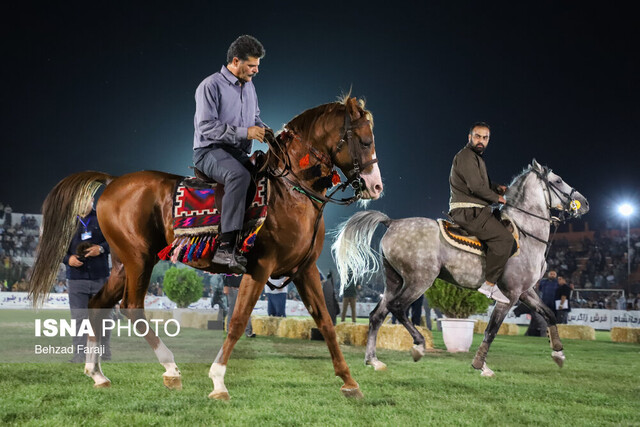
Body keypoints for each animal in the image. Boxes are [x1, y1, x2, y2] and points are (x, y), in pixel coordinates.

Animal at [30, 97, 382, 402]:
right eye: (365, 141)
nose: (375, 186)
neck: (290, 190)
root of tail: (113, 181)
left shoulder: (304, 270)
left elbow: (326, 323)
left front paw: (350, 381)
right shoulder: (259, 268)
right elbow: (237, 321)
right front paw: (218, 381)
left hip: (120, 264)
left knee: (97, 304)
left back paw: (97, 373)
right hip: (138, 260)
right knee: (131, 308)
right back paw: (170, 368)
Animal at [336, 159, 592, 376]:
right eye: (557, 181)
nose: (585, 203)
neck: (525, 234)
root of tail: (393, 222)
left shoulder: (525, 292)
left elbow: (549, 314)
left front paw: (558, 353)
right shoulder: (509, 295)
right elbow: (491, 330)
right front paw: (481, 365)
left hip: (394, 281)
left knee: (377, 315)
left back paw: (373, 360)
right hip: (419, 281)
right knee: (398, 308)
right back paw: (418, 345)